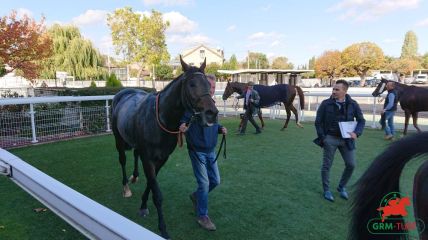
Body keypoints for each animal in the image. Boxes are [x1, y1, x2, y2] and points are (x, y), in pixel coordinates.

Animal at [111, 57, 217, 239]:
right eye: (191, 84)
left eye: (207, 85)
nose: (212, 114)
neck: (160, 118)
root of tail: (122, 93)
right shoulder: (148, 159)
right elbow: (157, 194)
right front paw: (163, 229)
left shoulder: (161, 159)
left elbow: (150, 184)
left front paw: (143, 205)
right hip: (118, 138)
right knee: (122, 160)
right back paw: (126, 187)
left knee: (135, 154)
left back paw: (135, 176)